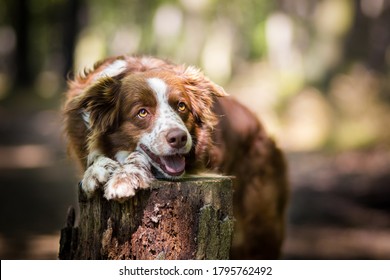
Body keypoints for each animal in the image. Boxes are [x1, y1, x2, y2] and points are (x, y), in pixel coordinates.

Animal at [63, 55, 290, 260]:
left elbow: (137, 156)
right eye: (142, 112)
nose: (179, 138)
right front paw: (97, 170)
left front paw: (124, 178)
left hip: (260, 224)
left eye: (181, 106)